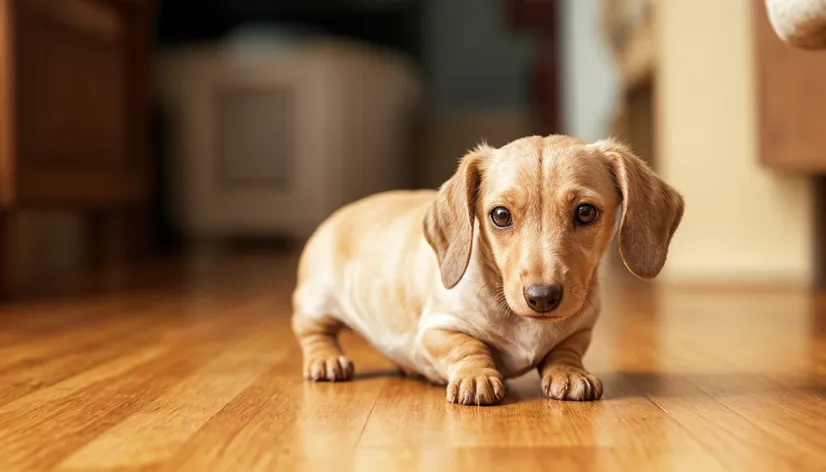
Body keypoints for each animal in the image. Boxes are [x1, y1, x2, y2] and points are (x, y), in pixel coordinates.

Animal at [290, 134, 684, 406]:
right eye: (500, 215)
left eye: (586, 212)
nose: (542, 297)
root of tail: (340, 213)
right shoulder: (438, 328)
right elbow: (466, 346)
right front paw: (477, 376)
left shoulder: (581, 329)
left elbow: (566, 350)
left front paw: (570, 374)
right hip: (317, 301)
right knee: (313, 333)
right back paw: (326, 361)